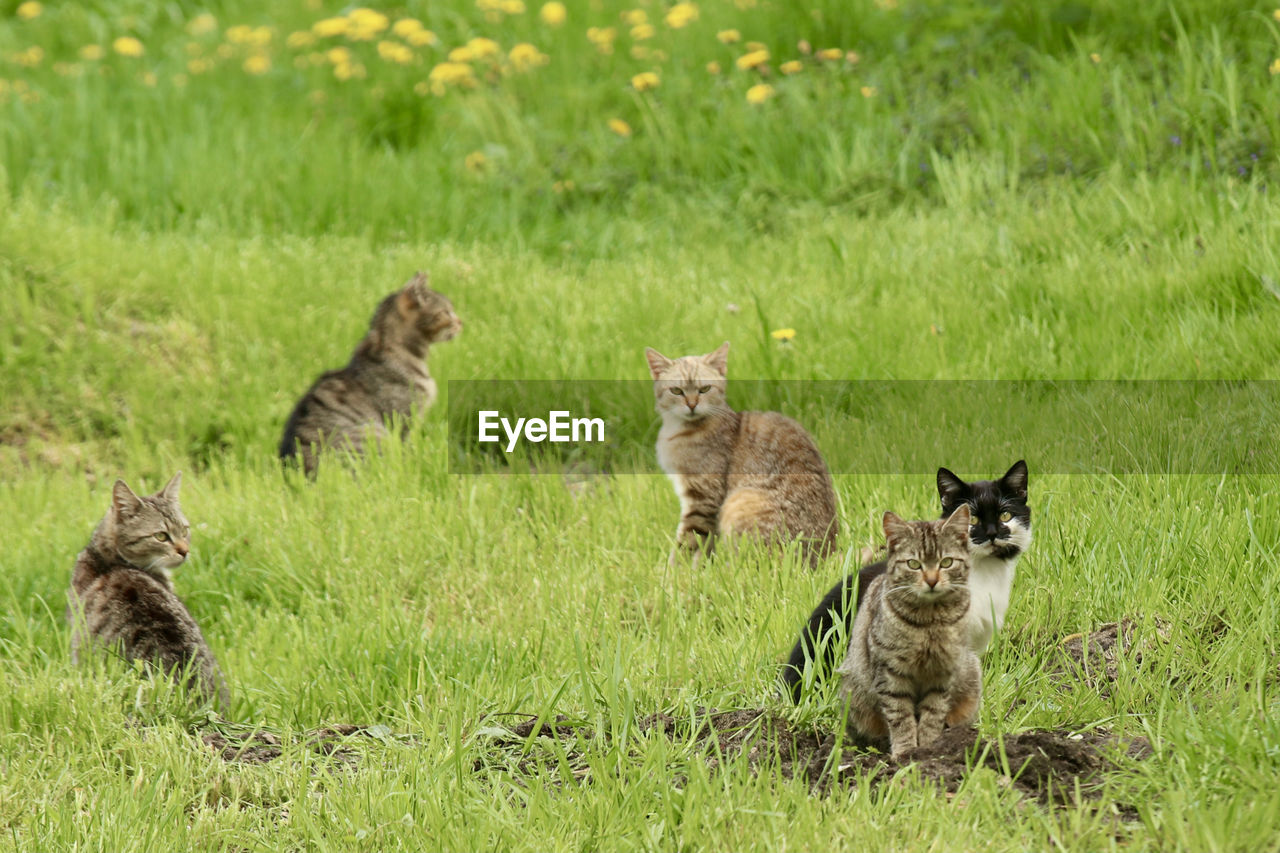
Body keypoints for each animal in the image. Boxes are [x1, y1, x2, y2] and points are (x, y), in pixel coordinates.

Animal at [640, 338, 839, 563]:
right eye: (676, 391)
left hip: (739, 502)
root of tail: (827, 556)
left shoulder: (703, 498)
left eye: (704, 389)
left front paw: (675, 571)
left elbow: (687, 543)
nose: (692, 404)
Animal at [834, 502, 983, 753]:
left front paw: (929, 747)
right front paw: (906, 751)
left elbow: (933, 713)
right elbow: (900, 715)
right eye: (913, 564)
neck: (930, 622)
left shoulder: (943, 672)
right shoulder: (890, 672)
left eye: (946, 562)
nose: (932, 580)